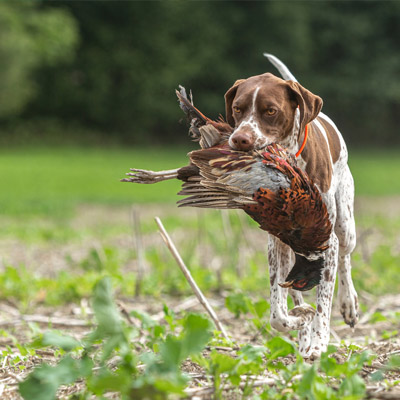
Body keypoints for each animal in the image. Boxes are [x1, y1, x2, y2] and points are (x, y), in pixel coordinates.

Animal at [225, 54, 360, 358]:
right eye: (237, 109)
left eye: (270, 111)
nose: (240, 139)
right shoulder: (277, 243)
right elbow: (279, 312)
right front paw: (301, 322)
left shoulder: (327, 241)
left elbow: (324, 303)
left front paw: (319, 343)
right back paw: (303, 333)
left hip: (345, 227)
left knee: (345, 259)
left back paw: (348, 304)